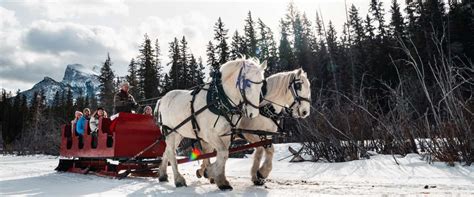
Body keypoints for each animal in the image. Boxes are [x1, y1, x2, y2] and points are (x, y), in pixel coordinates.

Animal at [156, 58, 266, 191]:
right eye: (248, 84)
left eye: (261, 85)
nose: (253, 113)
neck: (219, 99)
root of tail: (162, 99)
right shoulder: (209, 134)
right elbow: (223, 153)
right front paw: (211, 173)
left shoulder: (226, 134)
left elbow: (223, 155)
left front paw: (219, 179)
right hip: (172, 133)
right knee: (172, 153)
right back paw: (178, 179)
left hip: (178, 133)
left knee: (166, 151)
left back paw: (162, 174)